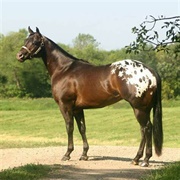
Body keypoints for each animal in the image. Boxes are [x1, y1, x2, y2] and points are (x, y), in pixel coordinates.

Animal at [17, 27, 163, 167]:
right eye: (26, 40)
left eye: (35, 42)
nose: (19, 55)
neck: (64, 69)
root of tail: (150, 71)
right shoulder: (77, 108)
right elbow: (82, 128)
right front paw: (84, 155)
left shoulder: (65, 105)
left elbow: (69, 127)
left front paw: (67, 154)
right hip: (143, 109)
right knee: (143, 130)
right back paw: (136, 159)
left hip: (139, 108)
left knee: (147, 128)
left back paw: (145, 160)